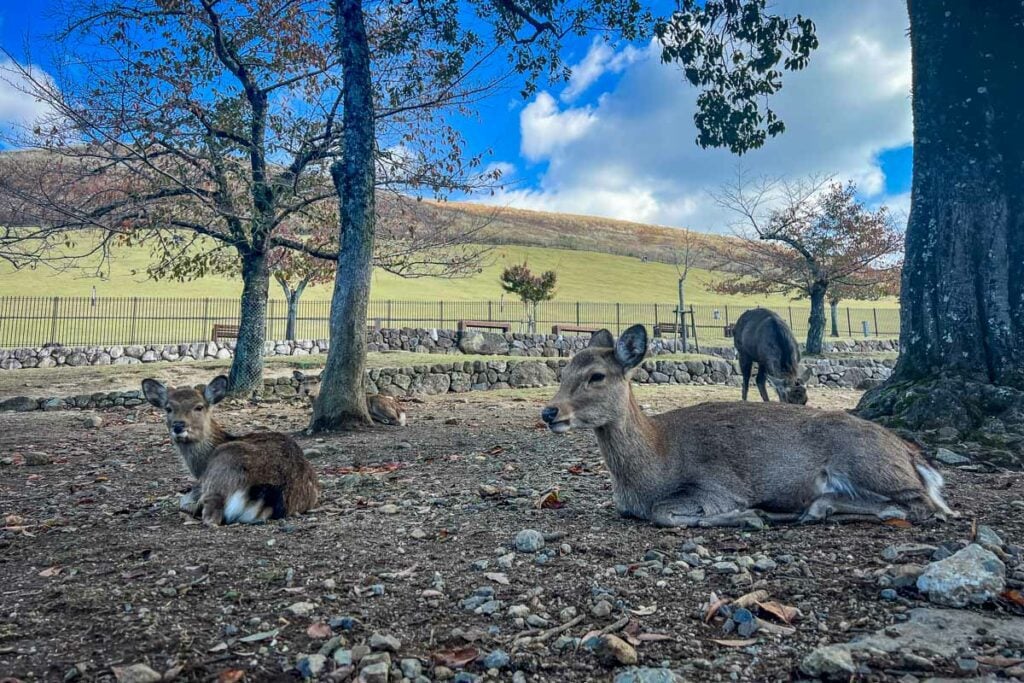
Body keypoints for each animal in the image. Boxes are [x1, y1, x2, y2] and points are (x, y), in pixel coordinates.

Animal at [142, 376, 319, 528]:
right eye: (168, 408)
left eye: (199, 407)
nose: (178, 426)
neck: (200, 466)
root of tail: (270, 496)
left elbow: (183, 500)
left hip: (220, 470)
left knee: (210, 518)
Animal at [540, 325, 954, 528]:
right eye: (563, 371)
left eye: (596, 376)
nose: (549, 412)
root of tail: (915, 457)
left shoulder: (717, 486)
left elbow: (665, 514)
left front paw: (749, 516)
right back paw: (812, 510)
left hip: (868, 462)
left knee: (925, 505)